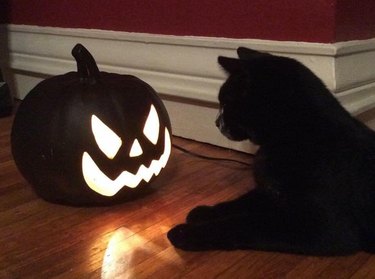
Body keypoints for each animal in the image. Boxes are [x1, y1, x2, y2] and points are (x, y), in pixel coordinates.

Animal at [169, 47, 375, 256]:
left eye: (226, 103)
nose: (216, 122)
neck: (294, 137)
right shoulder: (269, 191)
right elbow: (239, 203)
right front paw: (205, 212)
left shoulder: (324, 227)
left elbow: (246, 224)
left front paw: (187, 233)